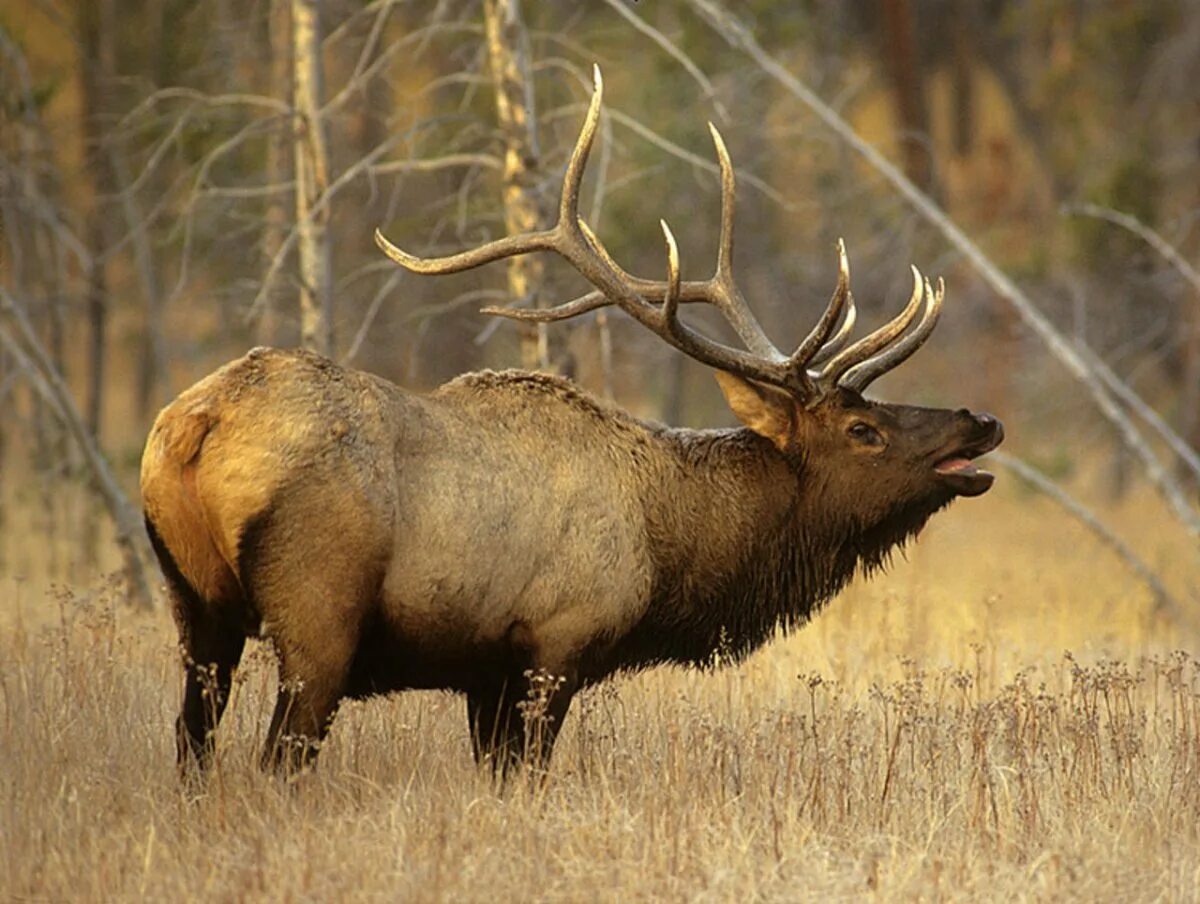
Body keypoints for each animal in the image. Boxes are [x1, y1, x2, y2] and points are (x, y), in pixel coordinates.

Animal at [140, 68, 1003, 777]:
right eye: (864, 430)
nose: (982, 421)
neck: (669, 550)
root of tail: (192, 429)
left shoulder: (486, 673)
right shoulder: (556, 642)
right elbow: (527, 777)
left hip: (195, 603)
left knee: (191, 745)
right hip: (317, 611)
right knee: (275, 759)